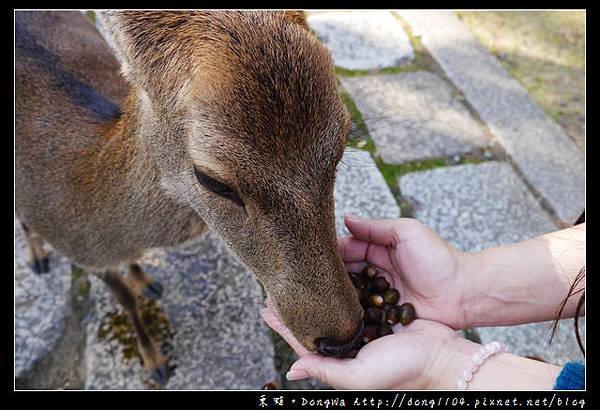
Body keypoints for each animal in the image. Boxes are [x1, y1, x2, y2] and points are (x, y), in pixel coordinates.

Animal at [15, 10, 366, 388]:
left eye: (343, 140)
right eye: (212, 179)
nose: (341, 337)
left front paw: (146, 282)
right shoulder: (84, 257)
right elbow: (125, 302)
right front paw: (156, 363)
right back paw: (37, 257)